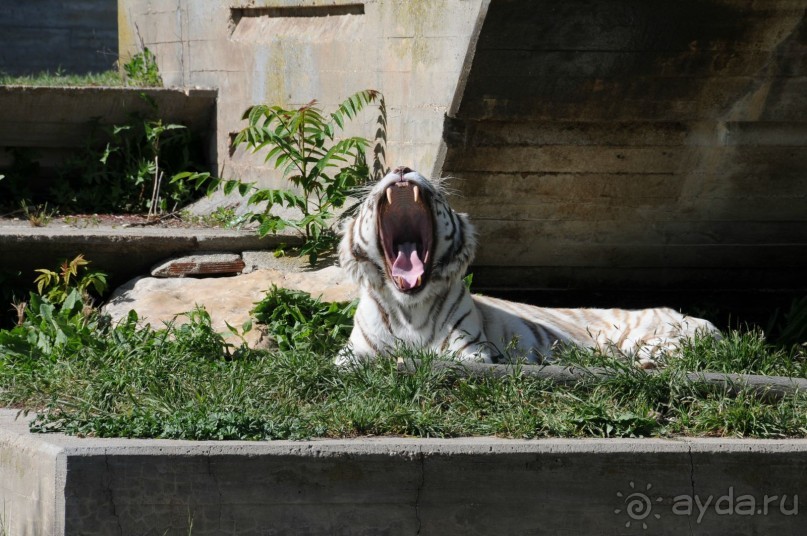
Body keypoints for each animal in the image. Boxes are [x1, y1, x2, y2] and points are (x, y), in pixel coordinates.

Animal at [334, 168, 720, 366]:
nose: (401, 168)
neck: (409, 306)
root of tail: (690, 315)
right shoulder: (354, 352)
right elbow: (347, 363)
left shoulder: (471, 351)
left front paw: (407, 362)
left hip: (645, 338)